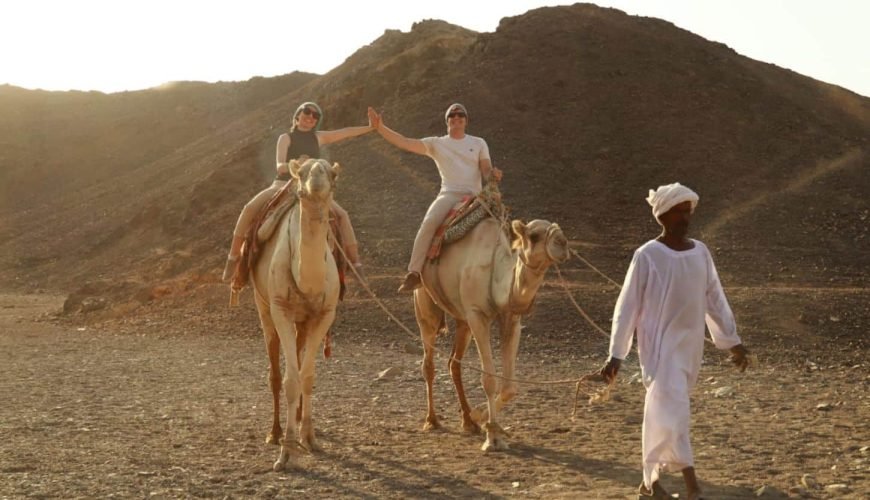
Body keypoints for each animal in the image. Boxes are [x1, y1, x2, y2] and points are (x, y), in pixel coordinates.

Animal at [250, 158, 342, 472]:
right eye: (301, 173)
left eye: (331, 174)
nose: (315, 181)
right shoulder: (281, 309)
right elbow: (290, 380)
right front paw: (286, 450)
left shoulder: (324, 314)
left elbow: (308, 376)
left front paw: (309, 437)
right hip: (264, 307)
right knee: (276, 373)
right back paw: (274, 432)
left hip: (303, 321)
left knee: (300, 362)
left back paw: (300, 418)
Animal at [415, 216, 569, 451]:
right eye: (534, 235)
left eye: (559, 229)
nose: (563, 243)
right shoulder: (477, 315)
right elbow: (489, 379)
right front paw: (492, 438)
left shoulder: (511, 319)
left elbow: (509, 387)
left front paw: (480, 416)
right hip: (426, 305)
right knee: (428, 363)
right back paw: (432, 420)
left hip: (462, 321)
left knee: (454, 363)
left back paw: (468, 421)